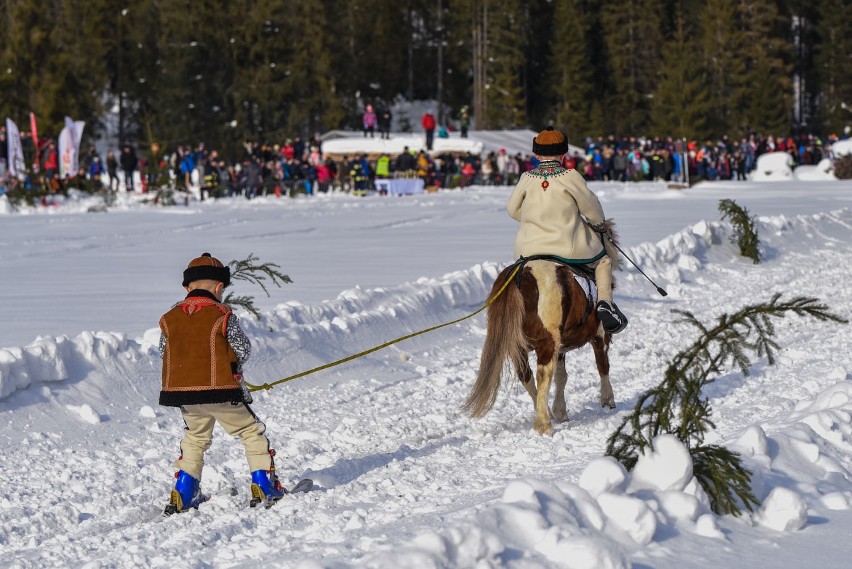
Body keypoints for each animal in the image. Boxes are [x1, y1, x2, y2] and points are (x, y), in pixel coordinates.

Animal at [462, 258, 616, 434]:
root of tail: (520, 275)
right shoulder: (600, 337)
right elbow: (602, 366)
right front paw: (608, 400)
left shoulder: (560, 348)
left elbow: (561, 377)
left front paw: (560, 411)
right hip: (548, 342)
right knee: (543, 375)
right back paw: (544, 423)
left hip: (519, 347)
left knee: (526, 376)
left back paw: (545, 412)